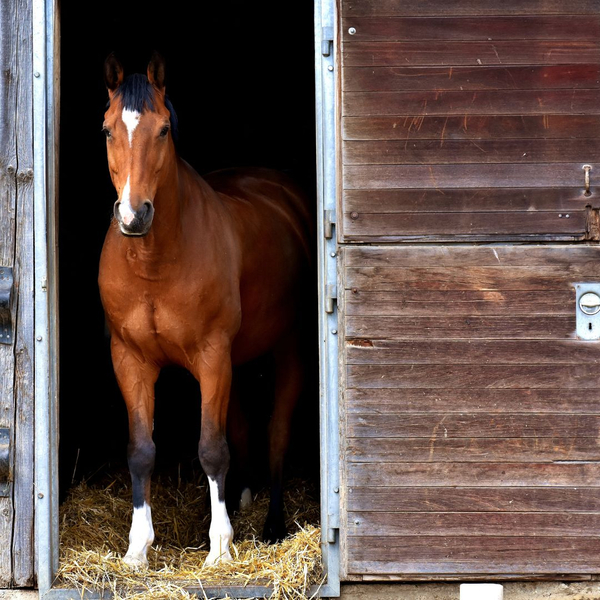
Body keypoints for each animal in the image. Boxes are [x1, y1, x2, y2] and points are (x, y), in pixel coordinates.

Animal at [97, 52, 314, 568]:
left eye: (162, 130)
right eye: (107, 129)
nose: (134, 216)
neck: (154, 262)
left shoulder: (212, 356)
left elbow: (212, 448)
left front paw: (219, 548)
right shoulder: (130, 359)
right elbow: (141, 450)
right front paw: (137, 548)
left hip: (288, 349)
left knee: (276, 432)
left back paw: (272, 525)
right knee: (244, 427)